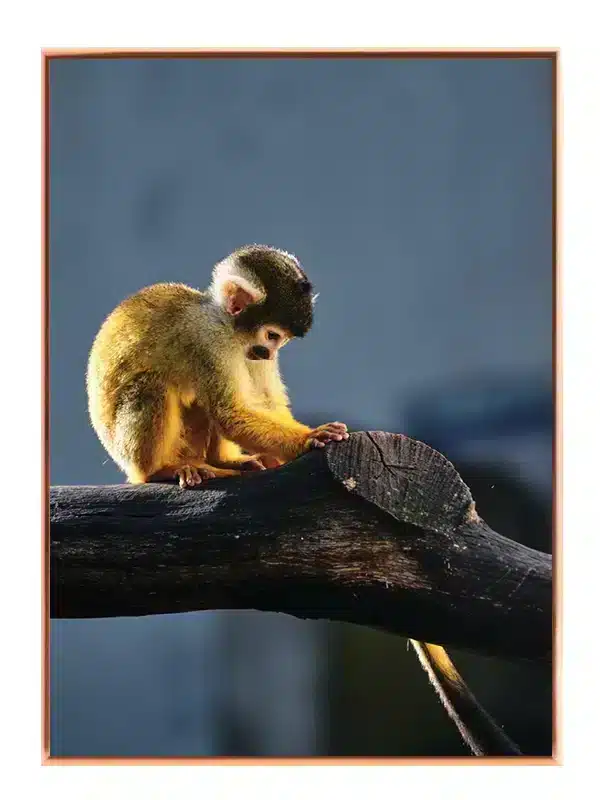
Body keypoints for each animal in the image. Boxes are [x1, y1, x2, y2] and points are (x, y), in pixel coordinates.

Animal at [86, 244, 349, 489]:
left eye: (282, 341)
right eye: (272, 336)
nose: (271, 353)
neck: (227, 325)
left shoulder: (251, 351)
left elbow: (263, 401)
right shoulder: (209, 339)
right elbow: (228, 412)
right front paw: (309, 437)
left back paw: (222, 461)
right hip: (128, 451)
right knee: (151, 385)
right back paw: (158, 471)